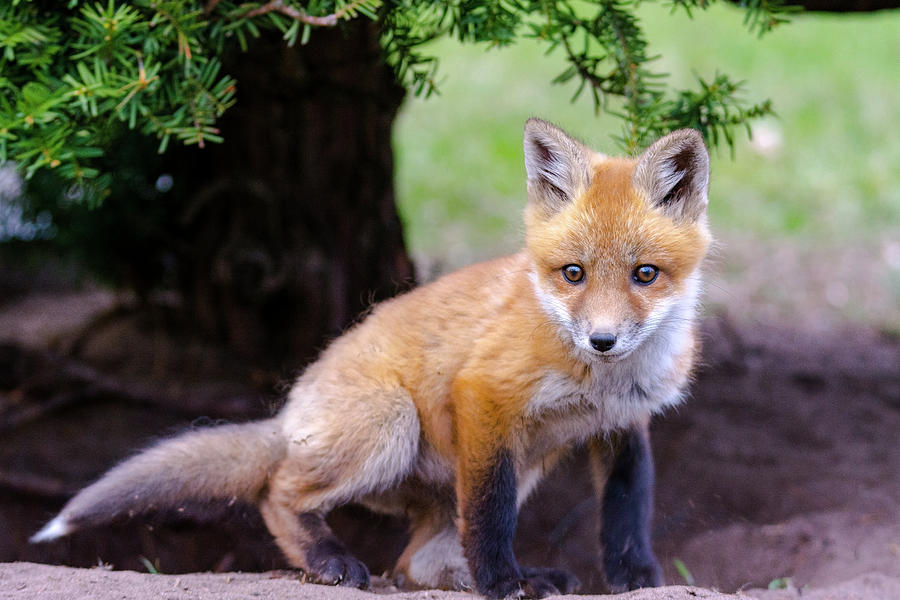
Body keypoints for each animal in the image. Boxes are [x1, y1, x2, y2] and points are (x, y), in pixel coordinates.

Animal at [29, 119, 712, 596]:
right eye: (573, 273)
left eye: (645, 274)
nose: (603, 340)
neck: (604, 380)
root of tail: (292, 412)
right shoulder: (485, 394)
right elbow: (488, 520)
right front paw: (499, 583)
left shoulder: (622, 422)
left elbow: (628, 510)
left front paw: (636, 578)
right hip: (394, 424)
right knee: (281, 490)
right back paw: (331, 560)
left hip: (515, 463)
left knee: (416, 564)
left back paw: (530, 575)